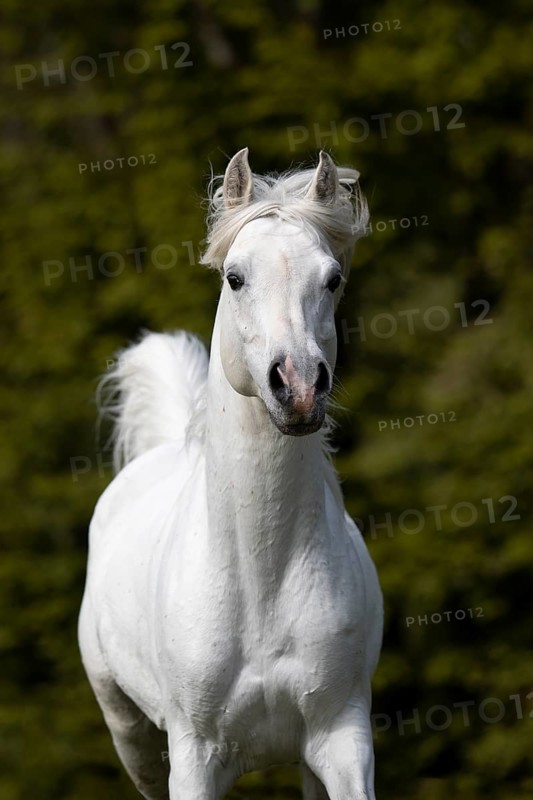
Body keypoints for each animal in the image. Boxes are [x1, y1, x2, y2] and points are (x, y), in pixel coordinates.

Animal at [78, 149, 383, 800]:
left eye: (332, 279)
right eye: (235, 277)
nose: (298, 387)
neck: (261, 580)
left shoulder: (342, 739)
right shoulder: (193, 757)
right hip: (132, 737)